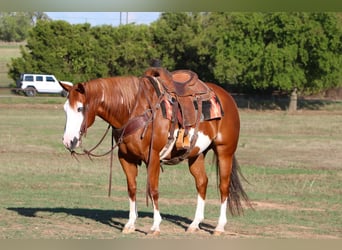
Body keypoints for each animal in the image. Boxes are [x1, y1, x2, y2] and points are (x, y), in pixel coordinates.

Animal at [58, 68, 250, 234]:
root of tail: (226, 97)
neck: (133, 110)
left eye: (80, 108)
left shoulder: (153, 158)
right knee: (202, 182)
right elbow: (132, 189)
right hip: (197, 154)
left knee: (223, 186)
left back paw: (219, 227)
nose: (68, 141)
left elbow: (153, 189)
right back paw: (194, 224)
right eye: (65, 109)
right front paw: (130, 224)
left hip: (224, 151)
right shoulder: (126, 158)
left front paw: (155, 226)